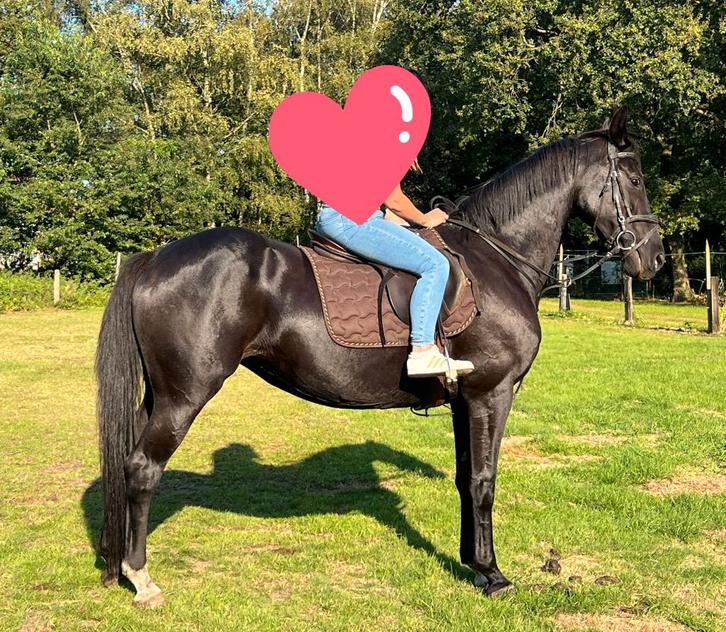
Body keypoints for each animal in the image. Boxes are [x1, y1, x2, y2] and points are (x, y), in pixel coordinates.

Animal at [95, 107, 665, 606]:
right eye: (635, 177)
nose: (654, 258)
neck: (496, 256)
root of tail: (154, 258)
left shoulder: (465, 401)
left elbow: (465, 478)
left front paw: (471, 566)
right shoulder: (491, 394)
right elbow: (483, 481)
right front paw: (494, 575)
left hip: (158, 396)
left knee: (125, 468)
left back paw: (114, 562)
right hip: (184, 395)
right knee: (143, 469)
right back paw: (142, 579)